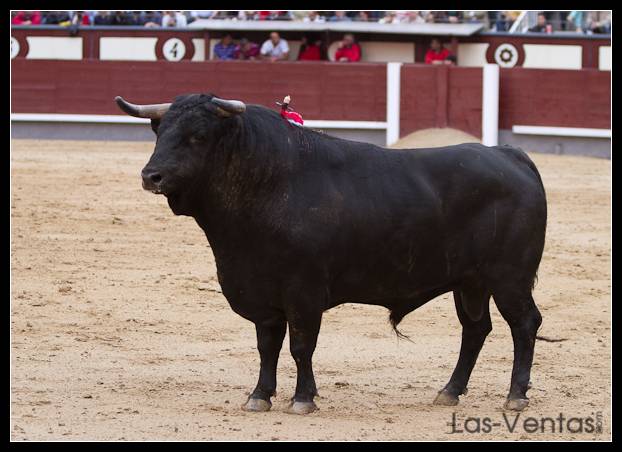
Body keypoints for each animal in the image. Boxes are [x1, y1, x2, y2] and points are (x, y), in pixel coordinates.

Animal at [116, 93, 544, 414]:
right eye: (160, 131)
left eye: (199, 135)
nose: (151, 176)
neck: (265, 185)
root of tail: (510, 155)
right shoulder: (261, 292)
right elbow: (267, 346)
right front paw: (259, 396)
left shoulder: (304, 292)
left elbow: (301, 345)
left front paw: (303, 399)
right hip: (470, 283)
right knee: (475, 329)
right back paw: (449, 391)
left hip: (510, 279)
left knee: (524, 324)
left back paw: (515, 396)